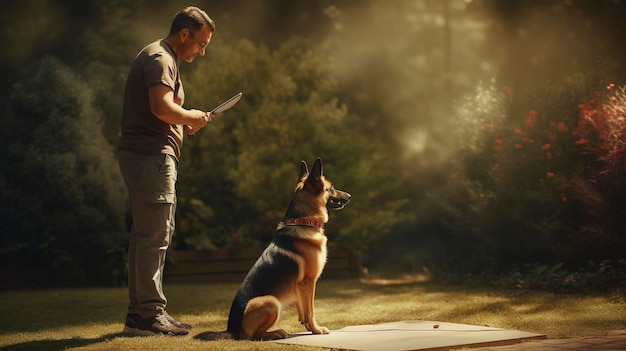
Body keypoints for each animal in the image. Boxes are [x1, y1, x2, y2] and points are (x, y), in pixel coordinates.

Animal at [195, 159, 348, 340]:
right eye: (331, 188)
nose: (349, 196)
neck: (303, 222)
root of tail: (232, 330)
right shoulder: (308, 282)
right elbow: (310, 310)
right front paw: (316, 330)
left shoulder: (299, 287)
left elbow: (303, 310)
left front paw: (308, 327)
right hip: (271, 302)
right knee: (252, 336)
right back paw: (277, 332)